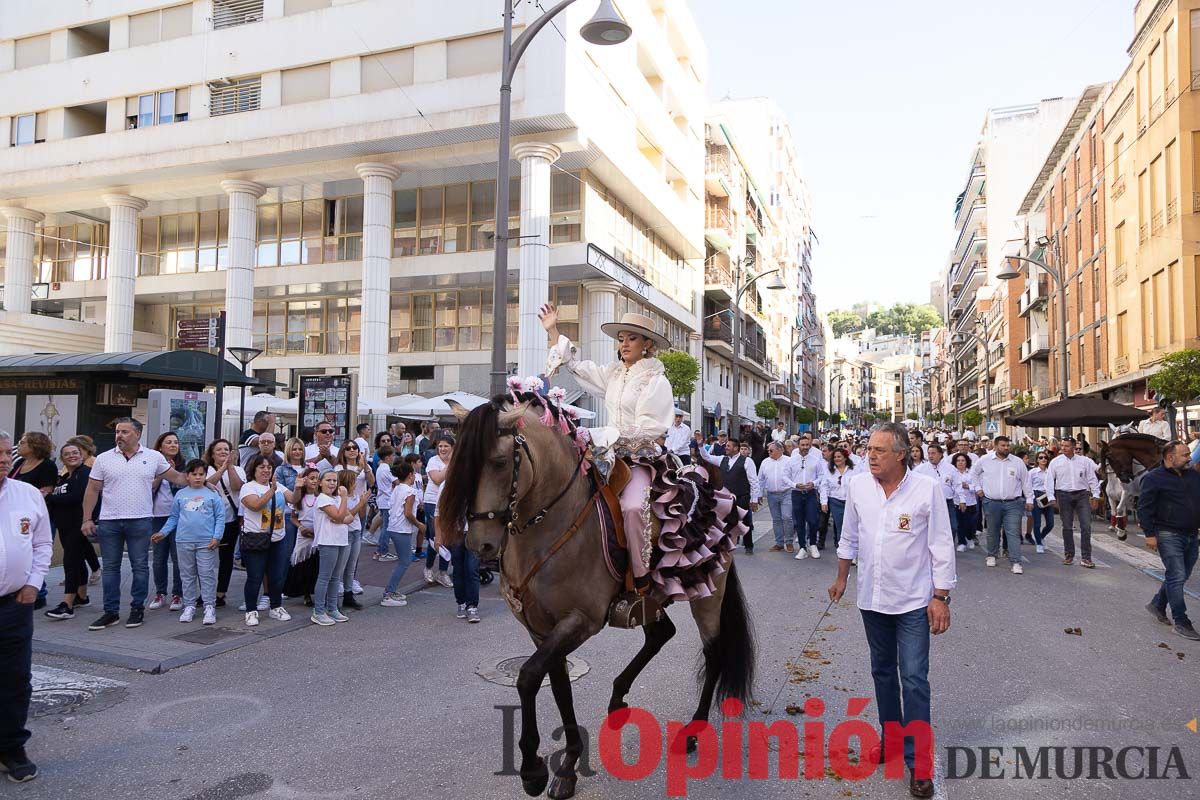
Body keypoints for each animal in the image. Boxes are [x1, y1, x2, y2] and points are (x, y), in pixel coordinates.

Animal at [441, 395, 748, 800]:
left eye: (499, 462)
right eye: (459, 461)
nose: (481, 545)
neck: (552, 525)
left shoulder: (580, 621)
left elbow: (527, 676)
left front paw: (532, 769)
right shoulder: (542, 630)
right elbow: (557, 687)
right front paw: (568, 763)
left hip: (708, 595)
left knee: (712, 655)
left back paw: (693, 732)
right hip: (651, 599)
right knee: (660, 635)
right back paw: (618, 700)